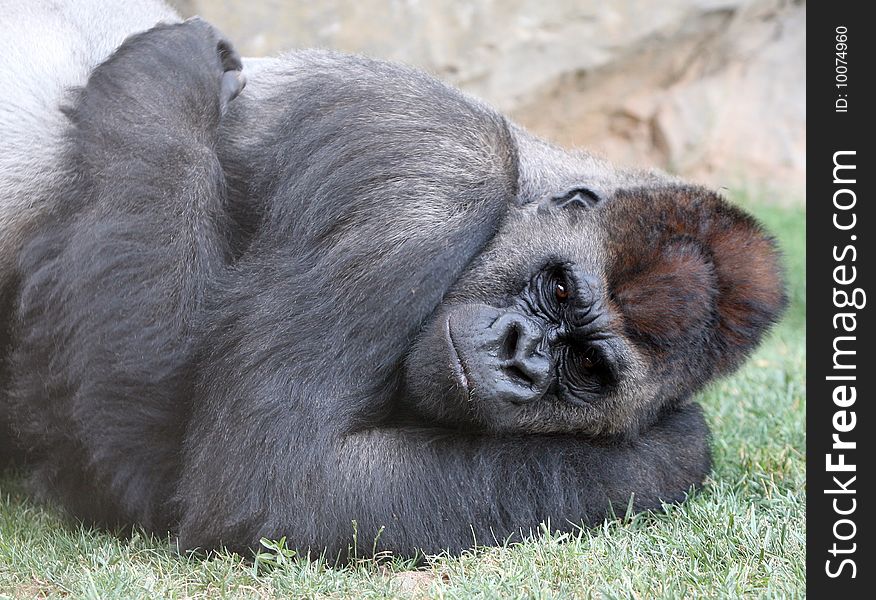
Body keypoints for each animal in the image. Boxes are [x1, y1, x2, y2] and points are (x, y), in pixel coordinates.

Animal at [0, 2, 784, 560]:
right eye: (558, 289)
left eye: (587, 367)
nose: (520, 358)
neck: (529, 173)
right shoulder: (434, 178)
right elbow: (264, 480)